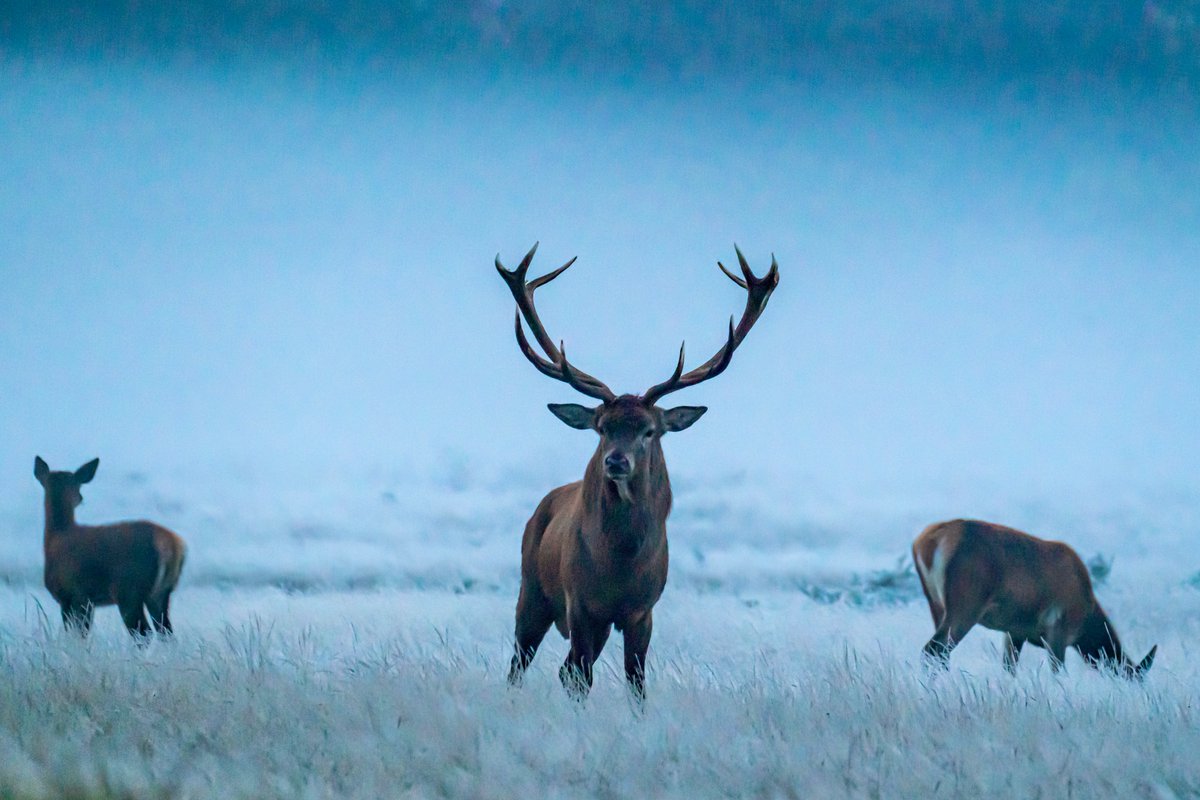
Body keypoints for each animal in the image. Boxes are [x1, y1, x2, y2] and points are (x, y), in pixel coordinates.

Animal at [35, 460, 187, 642]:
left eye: (78, 486)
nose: (81, 498)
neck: (56, 537)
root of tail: (172, 545)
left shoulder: (69, 594)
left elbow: (77, 633)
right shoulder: (87, 601)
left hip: (129, 590)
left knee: (144, 633)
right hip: (161, 592)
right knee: (166, 632)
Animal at [494, 245, 777, 700]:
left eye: (649, 430)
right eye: (602, 428)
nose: (615, 461)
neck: (620, 562)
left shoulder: (643, 610)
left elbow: (636, 680)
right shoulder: (579, 603)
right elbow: (583, 677)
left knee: (563, 669)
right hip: (531, 588)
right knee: (524, 661)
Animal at [912, 520, 1156, 681]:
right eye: (1134, 680)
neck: (1085, 620)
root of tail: (925, 544)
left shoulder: (1014, 631)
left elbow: (1009, 668)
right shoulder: (1058, 628)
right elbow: (1057, 672)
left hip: (936, 604)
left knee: (941, 653)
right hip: (965, 605)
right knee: (933, 649)